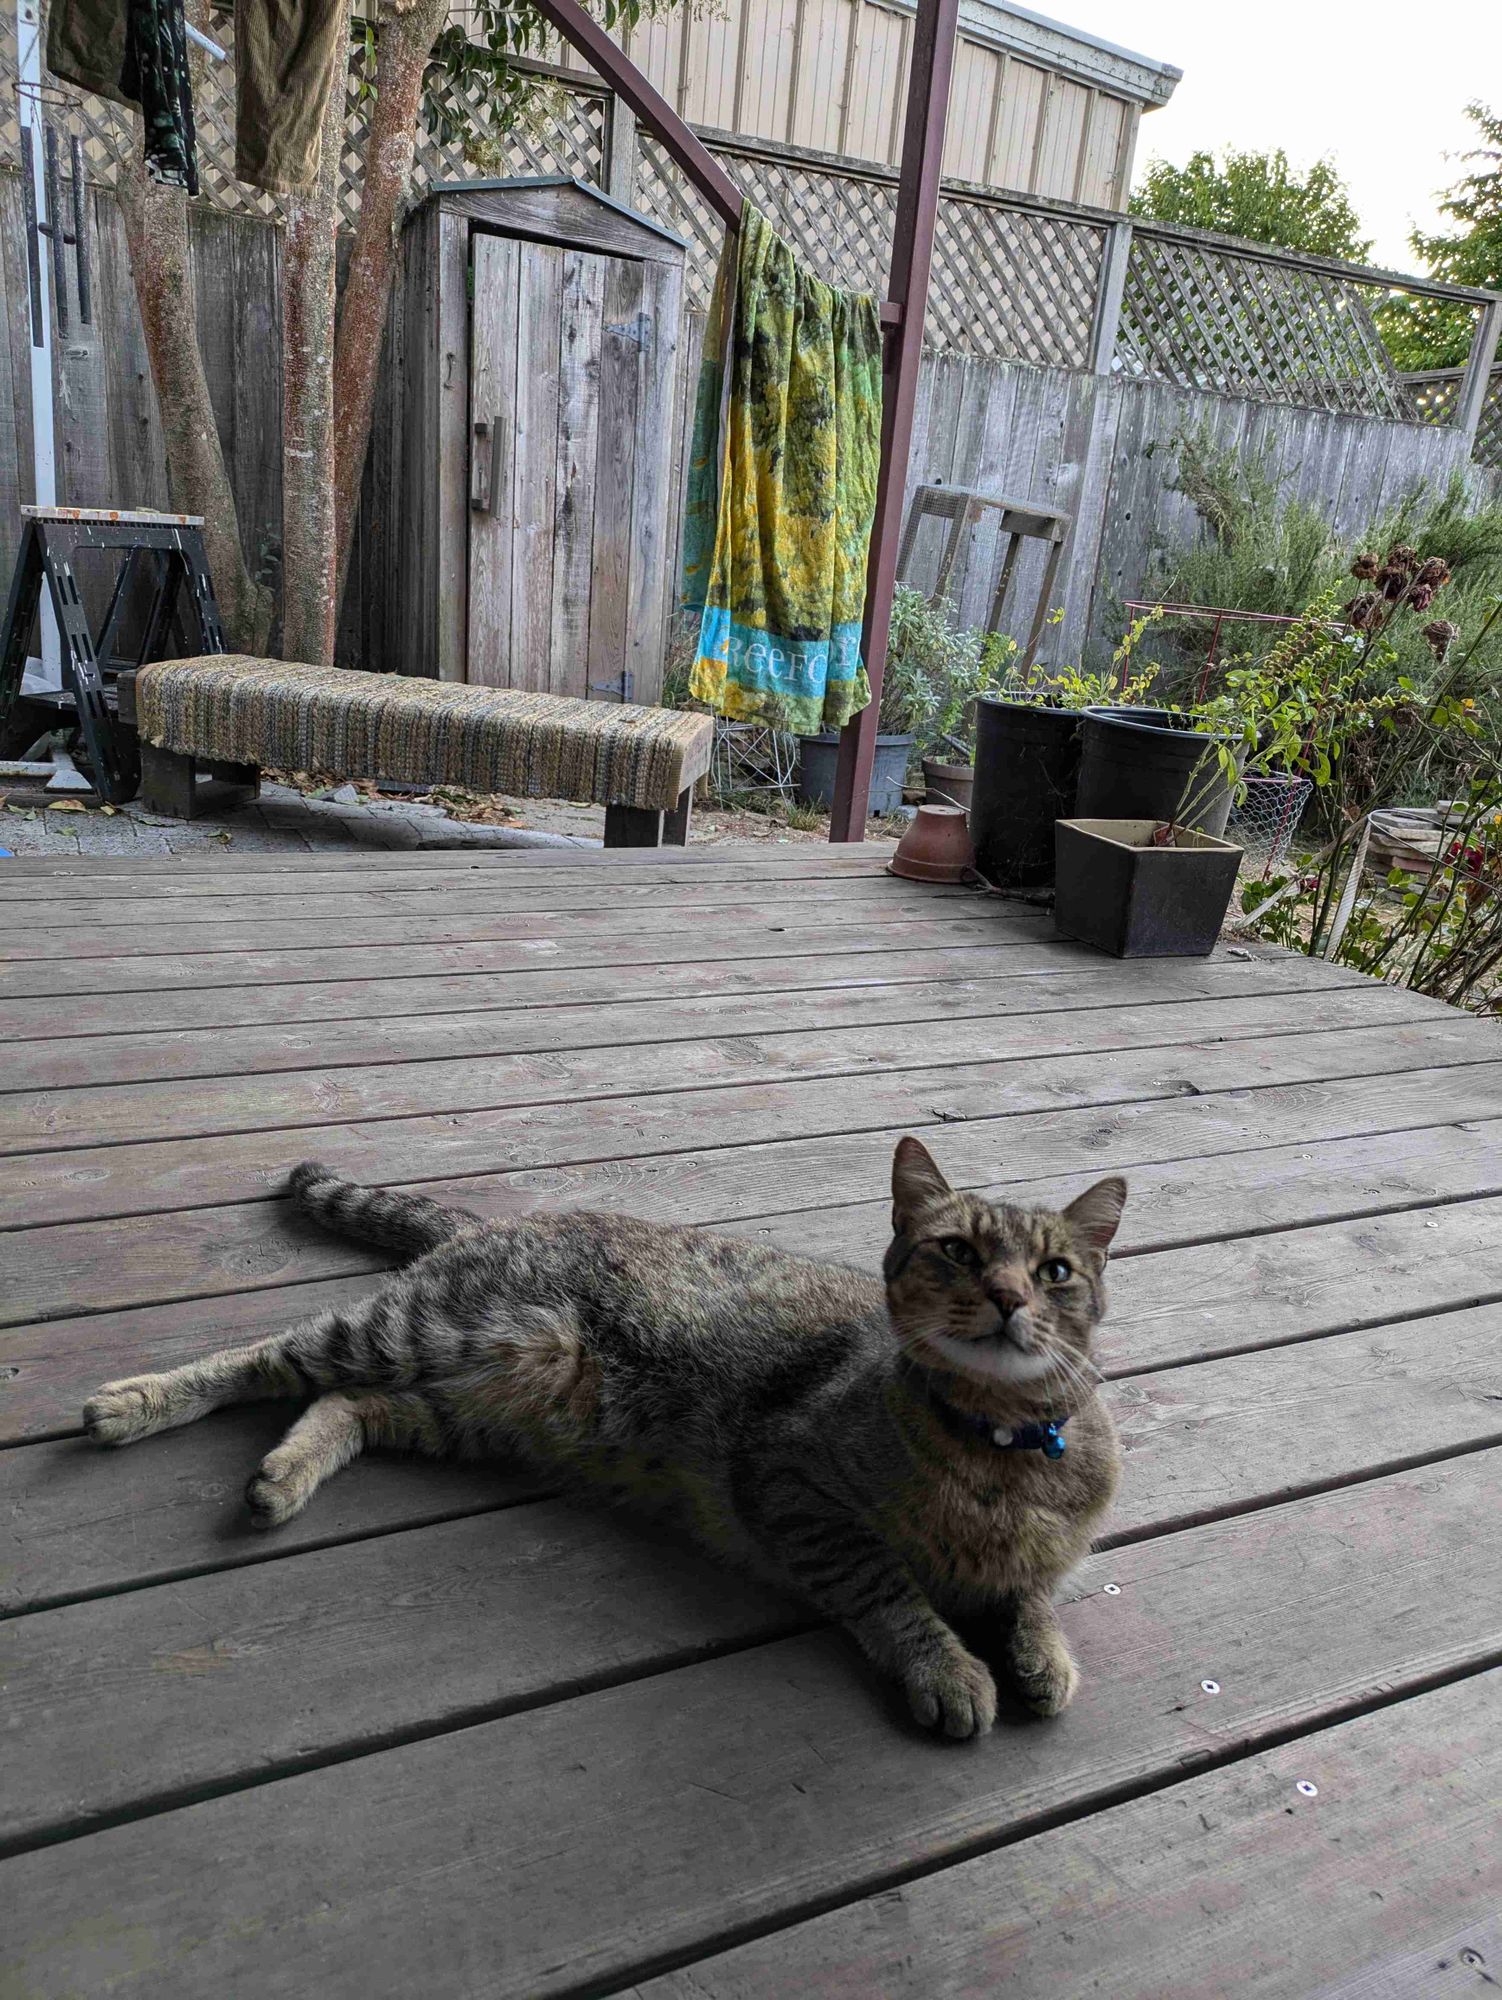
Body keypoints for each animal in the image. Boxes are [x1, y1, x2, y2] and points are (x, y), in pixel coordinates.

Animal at [79, 1144, 1120, 1736]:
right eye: (957, 1251)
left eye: (1056, 1271)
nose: (1009, 1297)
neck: (998, 1448)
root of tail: (497, 1219)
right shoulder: (789, 1483)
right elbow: (890, 1588)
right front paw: (951, 1666)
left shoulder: (1046, 1542)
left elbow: (1035, 1590)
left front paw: (1044, 1652)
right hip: (423, 1334)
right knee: (268, 1357)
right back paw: (136, 1402)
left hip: (467, 1406)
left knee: (344, 1406)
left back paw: (284, 1475)